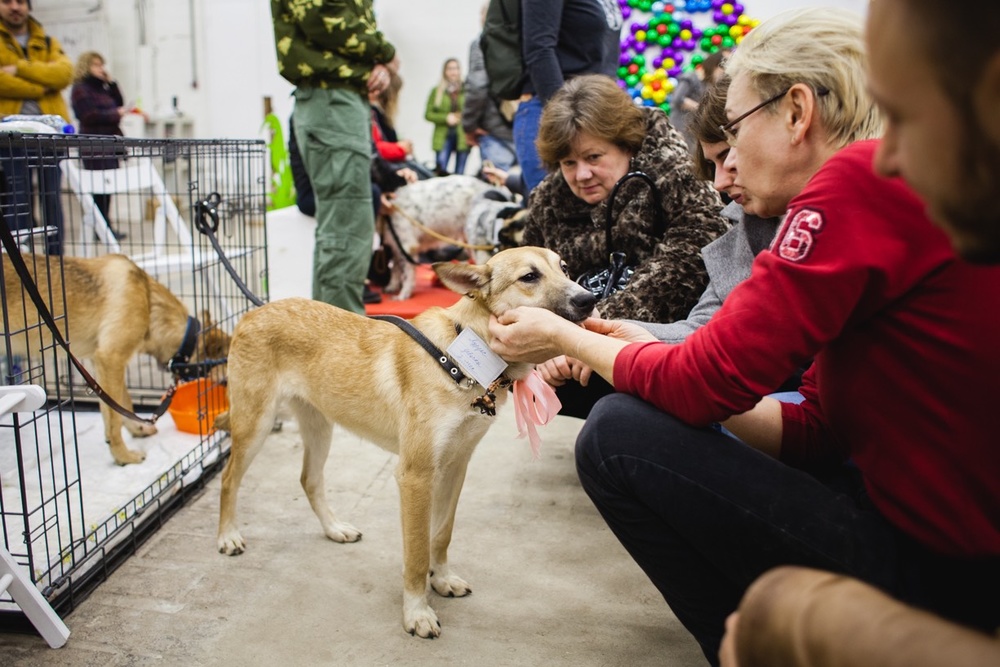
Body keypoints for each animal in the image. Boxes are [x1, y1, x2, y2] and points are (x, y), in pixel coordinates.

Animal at [1, 253, 230, 468]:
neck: (148, 300)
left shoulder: (101, 363)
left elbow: (122, 404)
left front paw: (138, 428)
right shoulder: (111, 358)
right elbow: (114, 417)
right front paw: (123, 456)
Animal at [215, 245, 596, 636]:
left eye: (565, 268)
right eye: (529, 277)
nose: (590, 299)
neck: (462, 357)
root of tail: (253, 312)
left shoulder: (455, 468)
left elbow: (441, 535)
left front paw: (441, 579)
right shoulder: (415, 477)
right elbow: (415, 552)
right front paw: (416, 611)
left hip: (320, 427)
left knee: (309, 480)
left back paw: (334, 529)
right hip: (255, 425)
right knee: (229, 479)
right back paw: (228, 536)